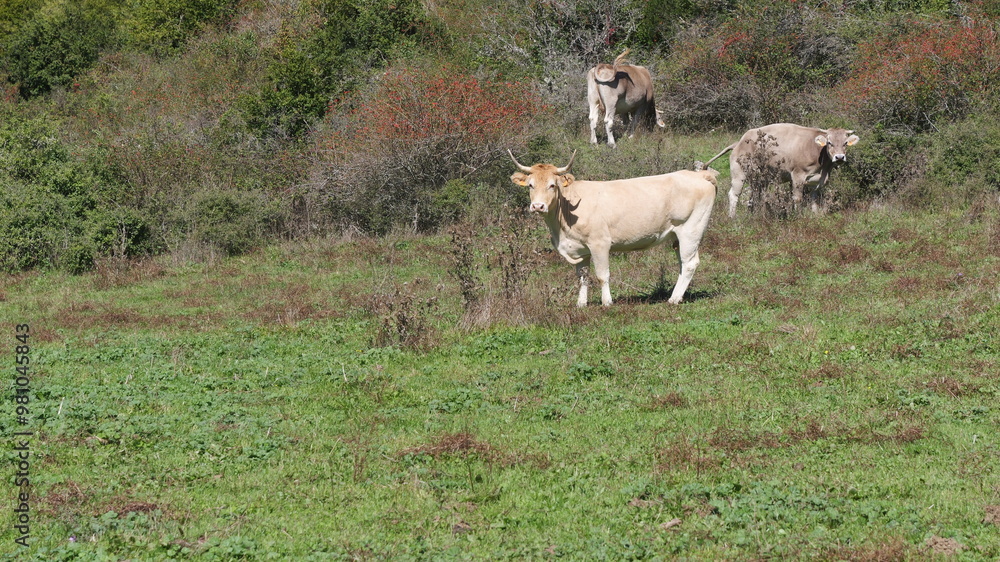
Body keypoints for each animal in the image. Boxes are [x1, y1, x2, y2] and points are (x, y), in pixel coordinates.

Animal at [509, 150, 718, 306]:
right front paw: (581, 304)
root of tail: (699, 175)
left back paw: (673, 299)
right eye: (530, 185)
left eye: (552, 185)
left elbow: (602, 275)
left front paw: (607, 302)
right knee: (682, 263)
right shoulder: (579, 249)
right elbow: (583, 277)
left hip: (691, 229)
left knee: (689, 263)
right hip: (677, 235)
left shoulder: (599, 243)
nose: (538, 206)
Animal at [700, 123, 860, 217]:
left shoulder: (819, 180)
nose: (839, 157)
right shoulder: (798, 175)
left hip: (758, 177)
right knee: (734, 194)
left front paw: (815, 216)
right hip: (739, 173)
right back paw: (733, 217)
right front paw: (798, 217)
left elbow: (815, 198)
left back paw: (754, 215)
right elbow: (797, 198)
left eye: (845, 143)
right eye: (829, 143)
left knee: (755, 196)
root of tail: (740, 141)